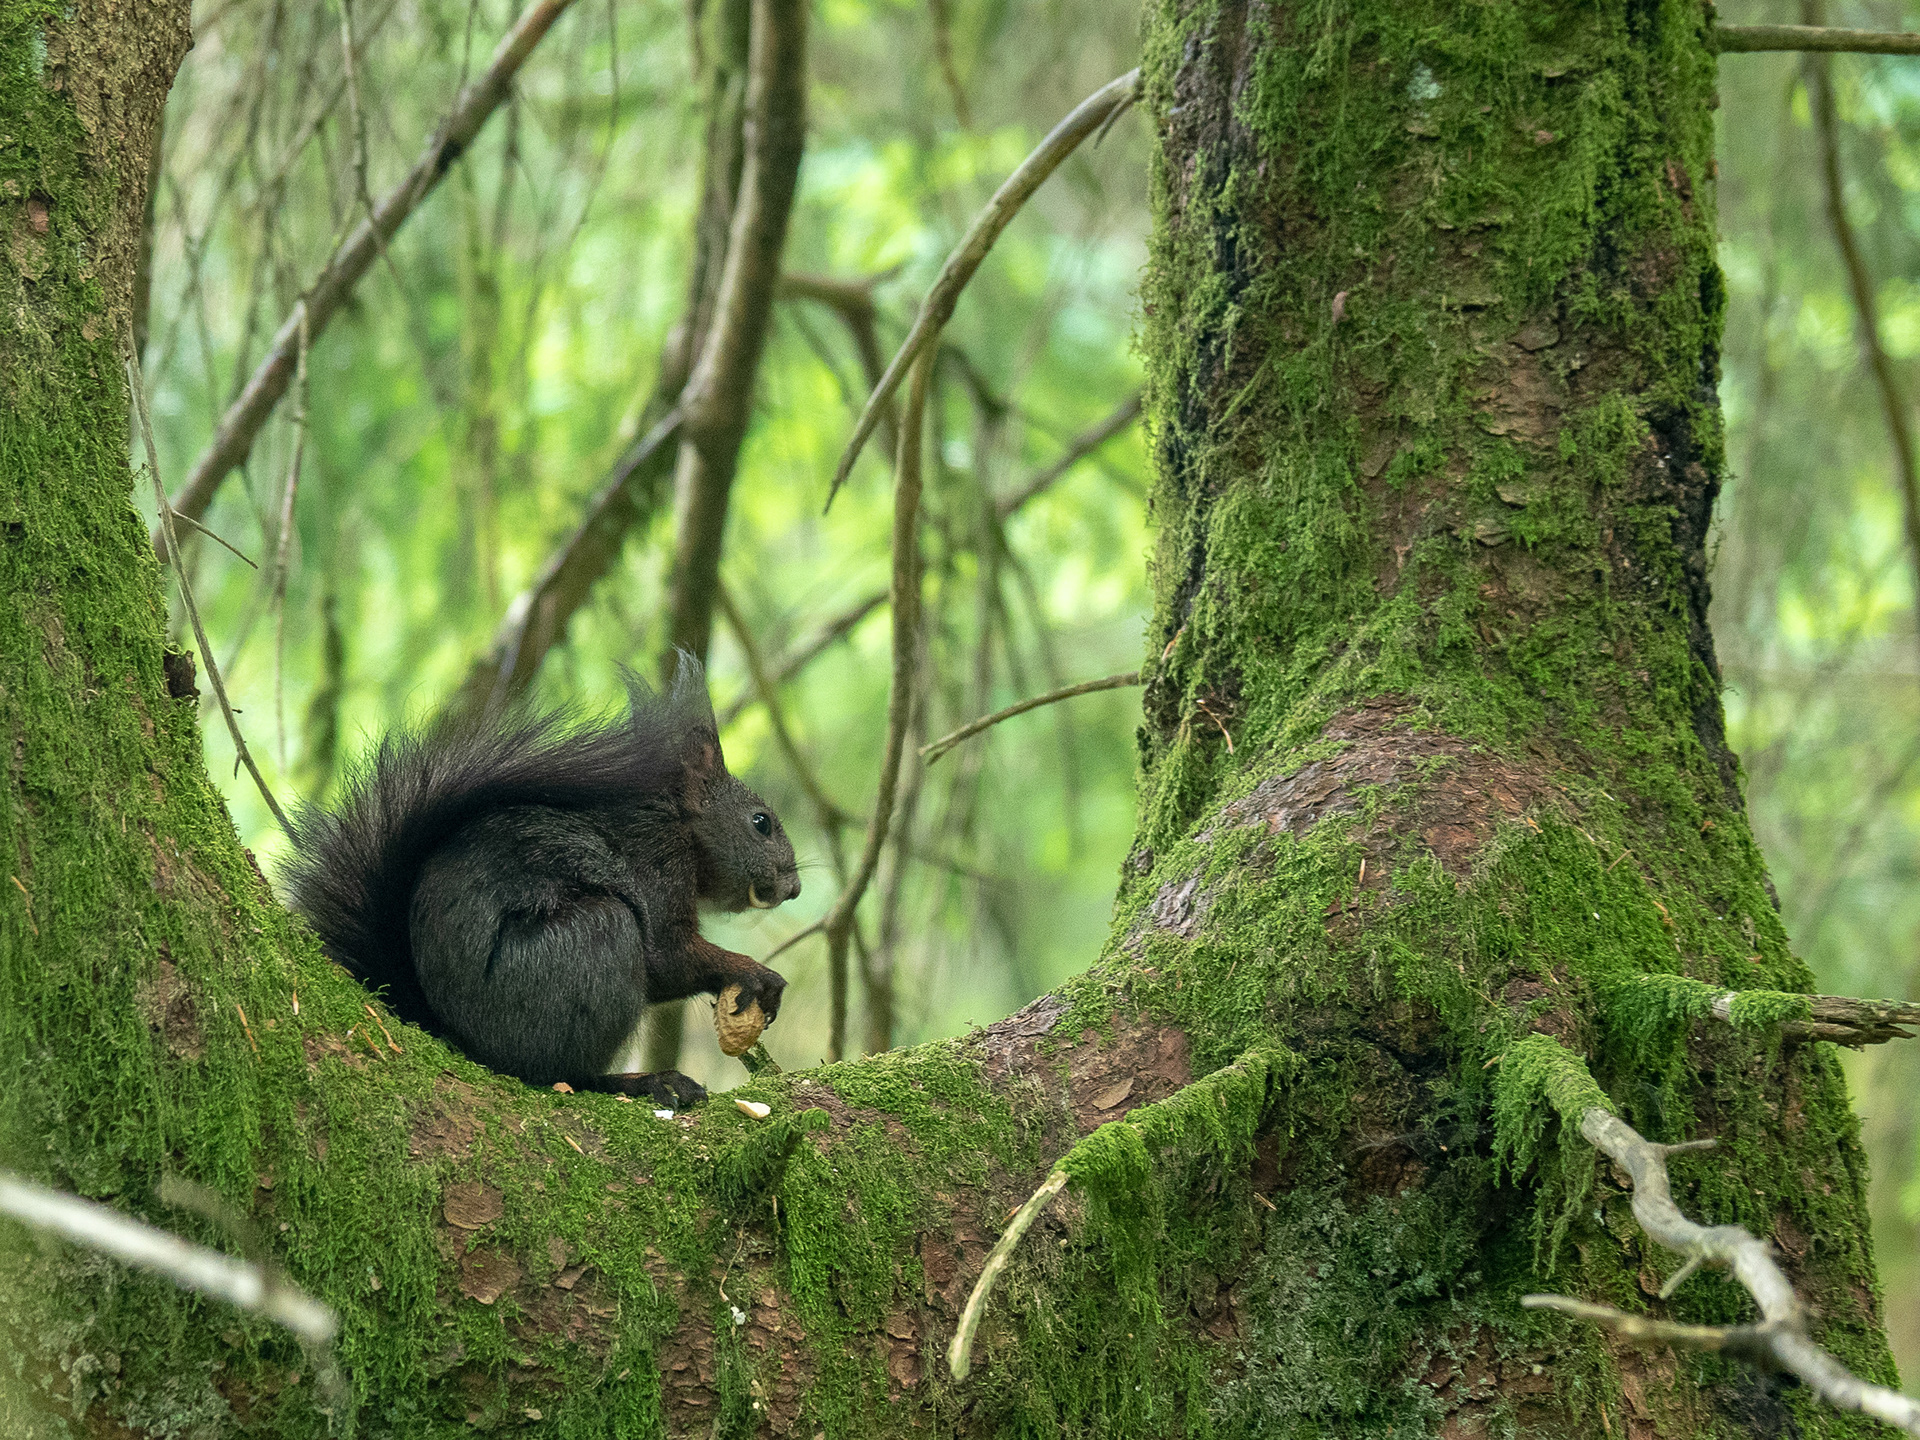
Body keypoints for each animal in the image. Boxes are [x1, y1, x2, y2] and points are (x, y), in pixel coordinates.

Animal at [279, 656, 798, 1107]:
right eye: (761, 823)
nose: (793, 888)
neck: (682, 829)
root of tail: (454, 1035)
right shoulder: (658, 865)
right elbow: (668, 957)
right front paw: (753, 972)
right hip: (594, 941)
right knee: (560, 1073)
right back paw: (642, 1082)